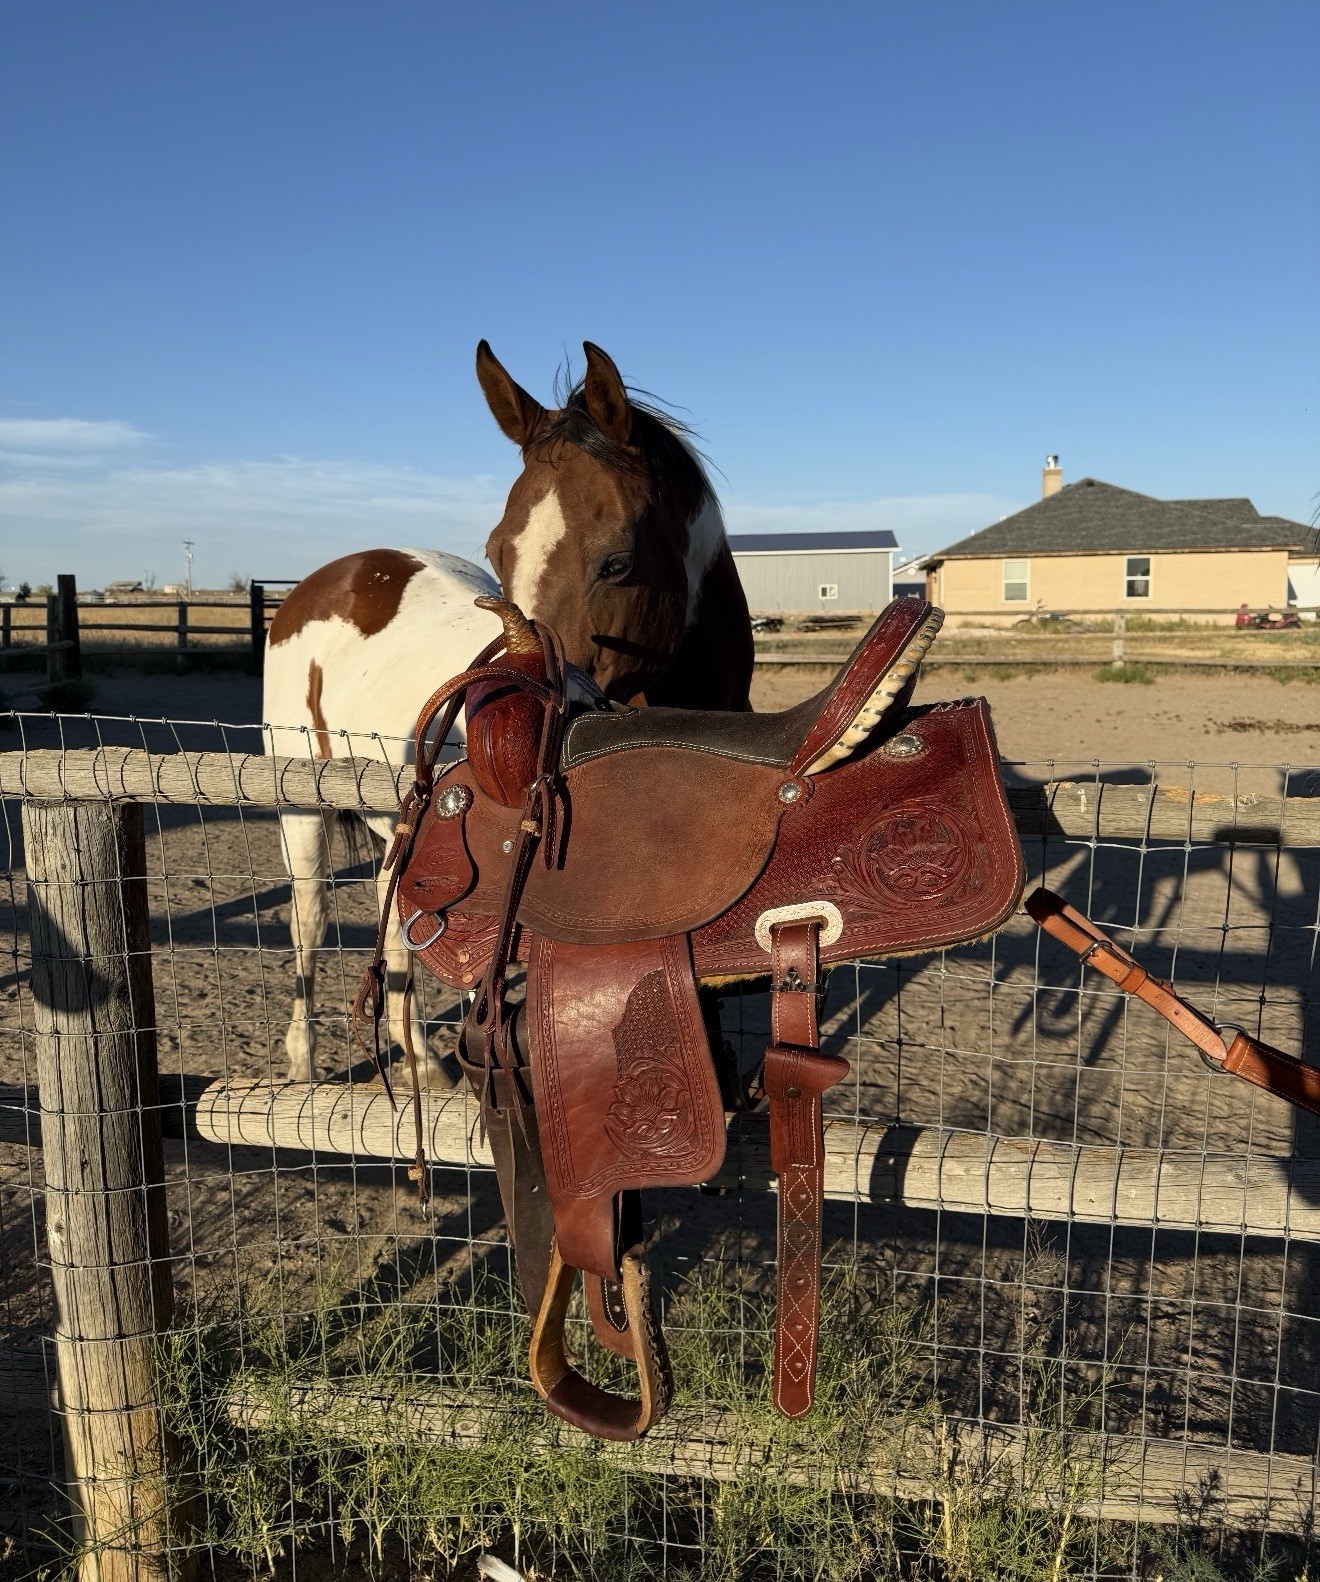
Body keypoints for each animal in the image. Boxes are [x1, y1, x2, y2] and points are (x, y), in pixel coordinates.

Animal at [263, 340, 754, 1083]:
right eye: (498, 551)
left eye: (617, 561)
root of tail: (321, 580)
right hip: (302, 803)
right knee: (310, 918)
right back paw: (303, 1059)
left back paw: (420, 1063)